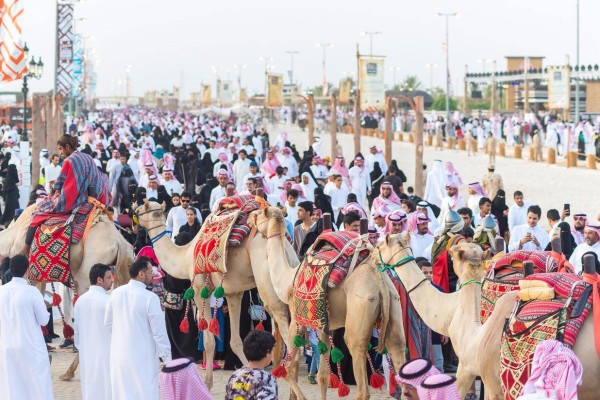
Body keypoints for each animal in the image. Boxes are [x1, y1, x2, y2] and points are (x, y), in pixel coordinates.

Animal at [137, 202, 296, 390]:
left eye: (142, 208)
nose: (134, 210)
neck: (184, 257)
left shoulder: (200, 290)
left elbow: (209, 341)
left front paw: (207, 383)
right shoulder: (234, 293)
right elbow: (236, 341)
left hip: (267, 280)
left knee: (282, 319)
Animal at [253, 206, 408, 400]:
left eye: (259, 214)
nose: (251, 219)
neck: (287, 279)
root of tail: (379, 280)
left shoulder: (298, 319)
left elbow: (287, 367)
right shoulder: (324, 325)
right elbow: (323, 376)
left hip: (360, 307)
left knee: (357, 358)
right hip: (394, 304)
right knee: (397, 346)